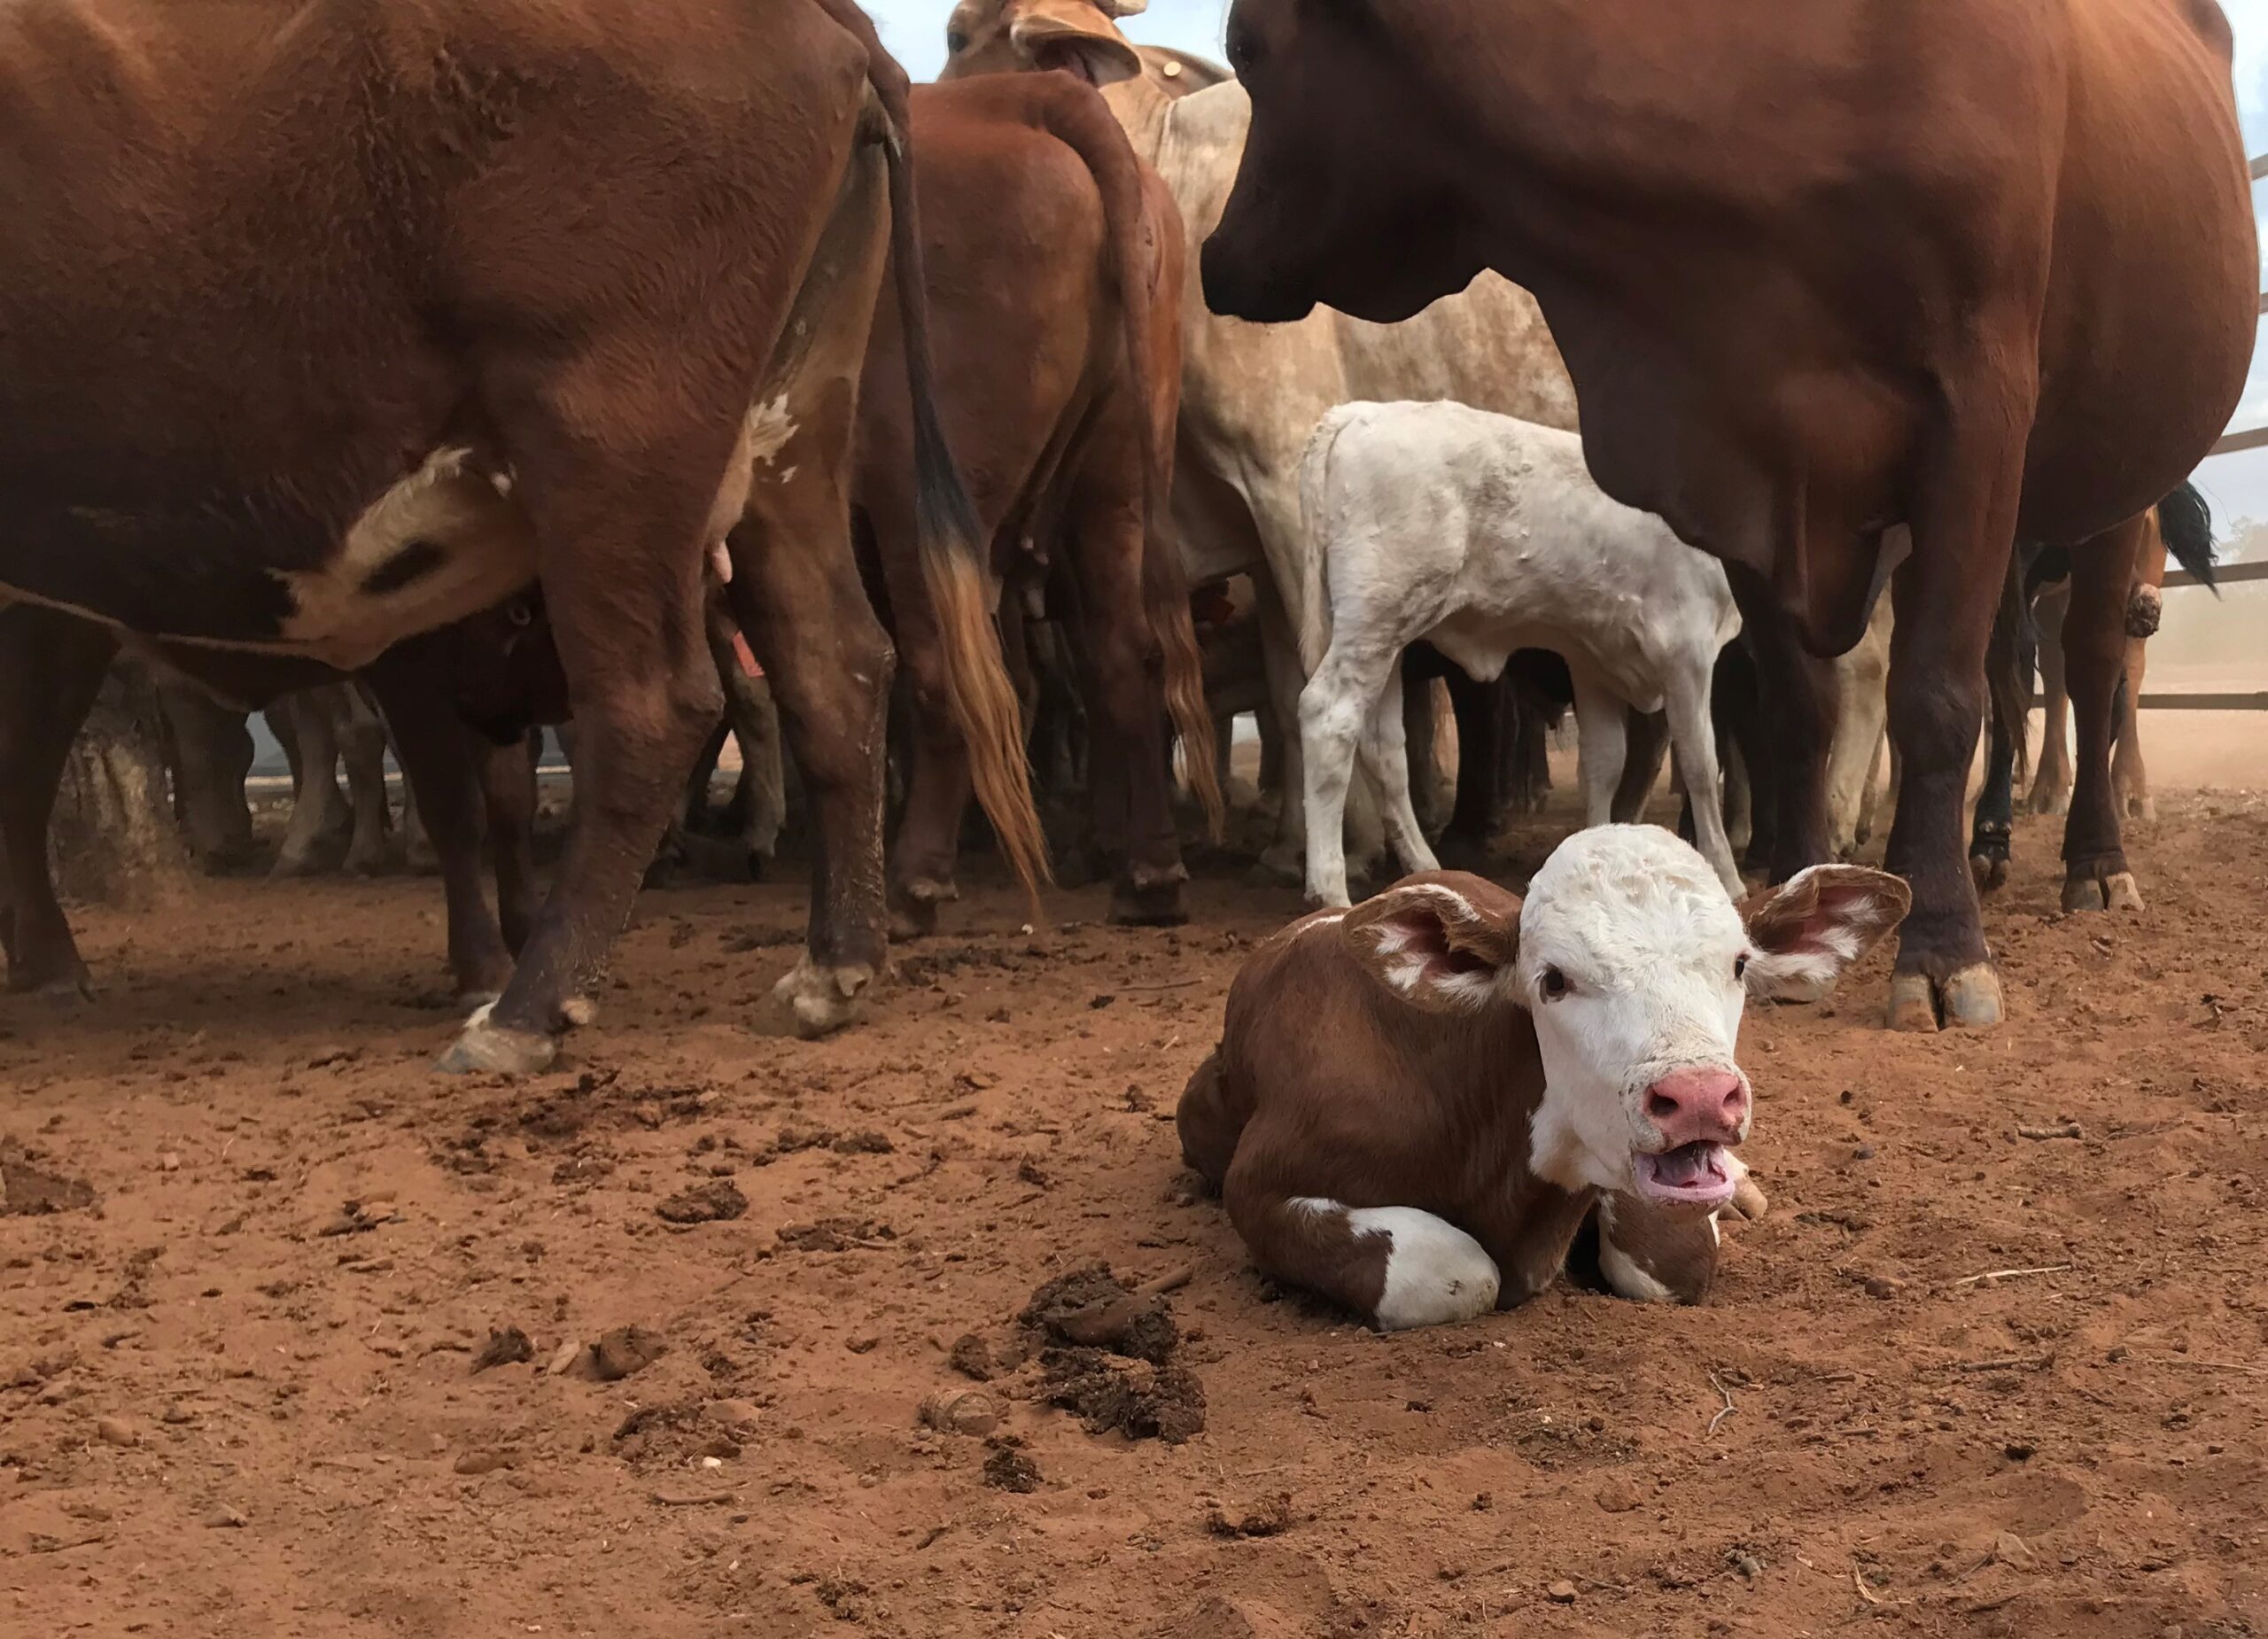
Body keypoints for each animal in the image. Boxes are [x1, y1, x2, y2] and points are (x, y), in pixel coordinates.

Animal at [0, 0, 1038, 1065]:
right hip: (786, 440)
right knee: (836, 668)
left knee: (653, 705)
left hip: (607, 449)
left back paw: (528, 1008)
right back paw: (831, 969)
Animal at [861, 74, 1224, 934]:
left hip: (917, 495)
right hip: (1118, 475)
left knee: (945, 673)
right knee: (1124, 652)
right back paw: (1148, 875)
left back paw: (916, 884)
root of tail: (1031, 90)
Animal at [1179, 825, 1905, 1324]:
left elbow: (1672, 1259)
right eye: (1553, 980)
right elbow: (1460, 1271)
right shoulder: (1261, 1184)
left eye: (1738, 964)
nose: (1700, 1096)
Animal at [1297, 399, 1751, 911]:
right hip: (1375, 619)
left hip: (1386, 639)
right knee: (1328, 718)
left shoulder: (1593, 659)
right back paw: (1330, 889)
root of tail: (1358, 412)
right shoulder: (1687, 651)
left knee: (1384, 748)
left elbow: (1603, 763)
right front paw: (1728, 876)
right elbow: (1699, 763)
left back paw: (1426, 867)